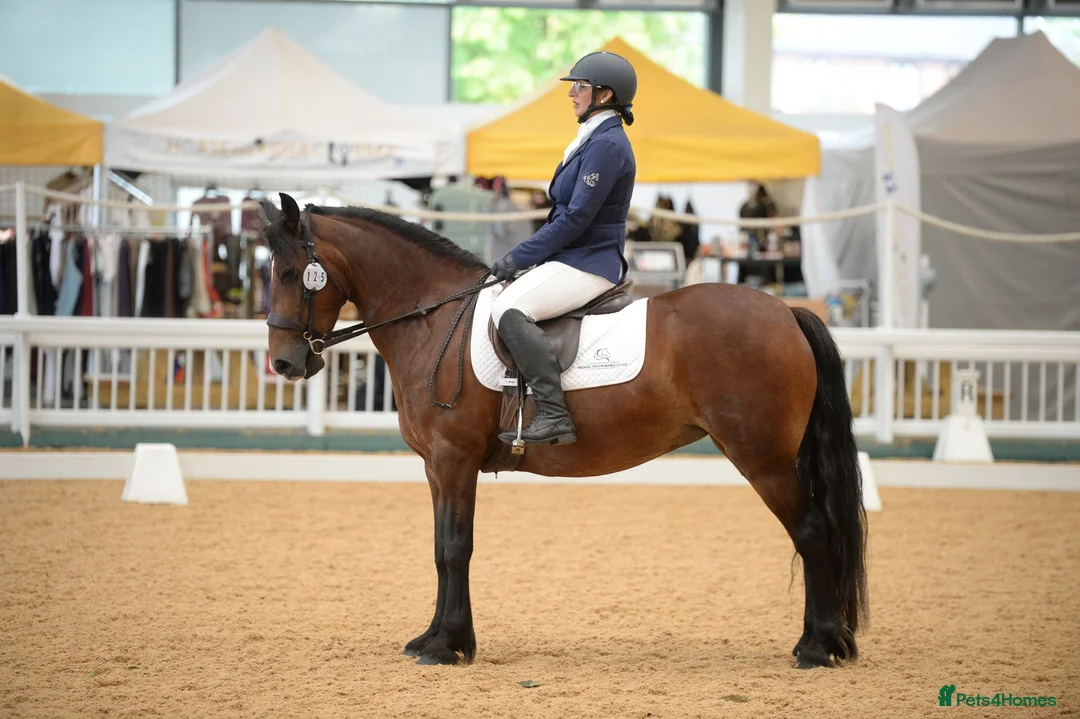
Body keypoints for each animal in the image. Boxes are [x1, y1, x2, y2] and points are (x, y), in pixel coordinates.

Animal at [260, 192, 868, 670]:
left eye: (289, 274)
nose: (284, 364)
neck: (433, 321)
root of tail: (787, 312)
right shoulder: (435, 466)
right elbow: (439, 548)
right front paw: (437, 638)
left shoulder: (454, 460)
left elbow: (456, 547)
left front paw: (446, 646)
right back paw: (825, 643)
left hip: (762, 458)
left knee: (813, 532)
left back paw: (816, 649)